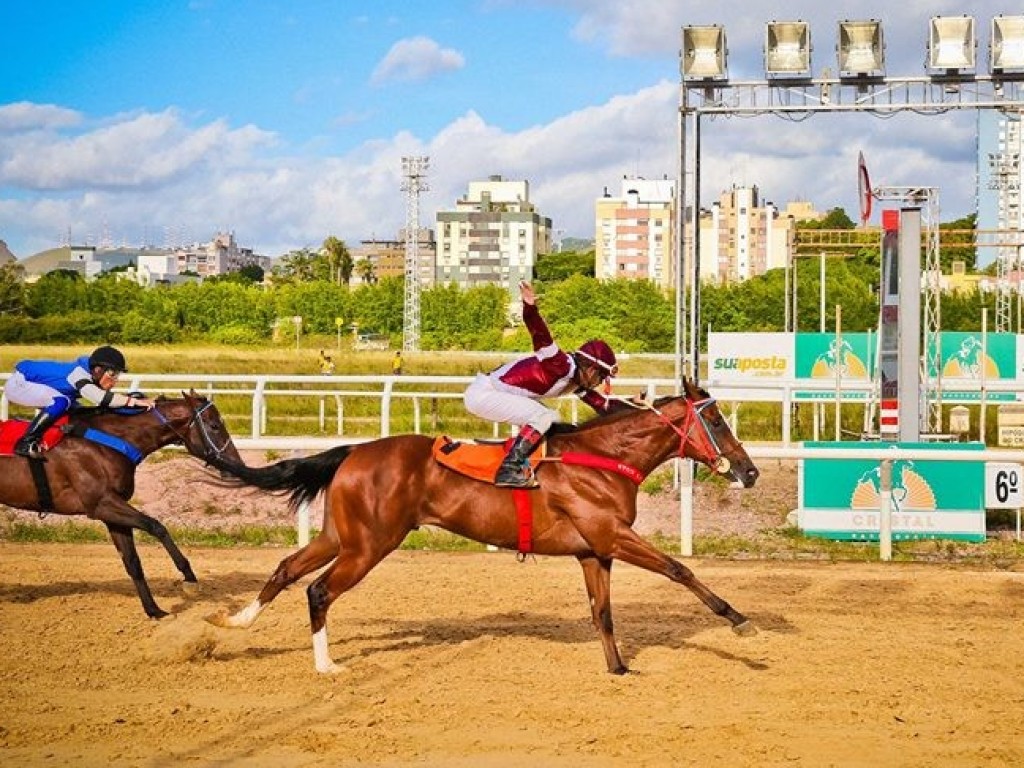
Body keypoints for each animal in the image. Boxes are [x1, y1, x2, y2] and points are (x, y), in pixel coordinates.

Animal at [0, 393, 240, 618]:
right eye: (215, 426)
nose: (236, 465)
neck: (108, 441)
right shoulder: (101, 504)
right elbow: (156, 526)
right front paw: (188, 577)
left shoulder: (112, 513)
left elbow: (132, 561)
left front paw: (153, 609)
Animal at [205, 376, 761, 671]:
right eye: (716, 421)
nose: (750, 470)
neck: (603, 458)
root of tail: (355, 451)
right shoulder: (614, 536)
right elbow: (678, 569)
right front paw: (739, 621)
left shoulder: (593, 551)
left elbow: (602, 612)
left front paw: (618, 667)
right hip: (369, 545)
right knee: (318, 590)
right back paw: (325, 664)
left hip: (340, 535)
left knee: (286, 567)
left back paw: (233, 621)